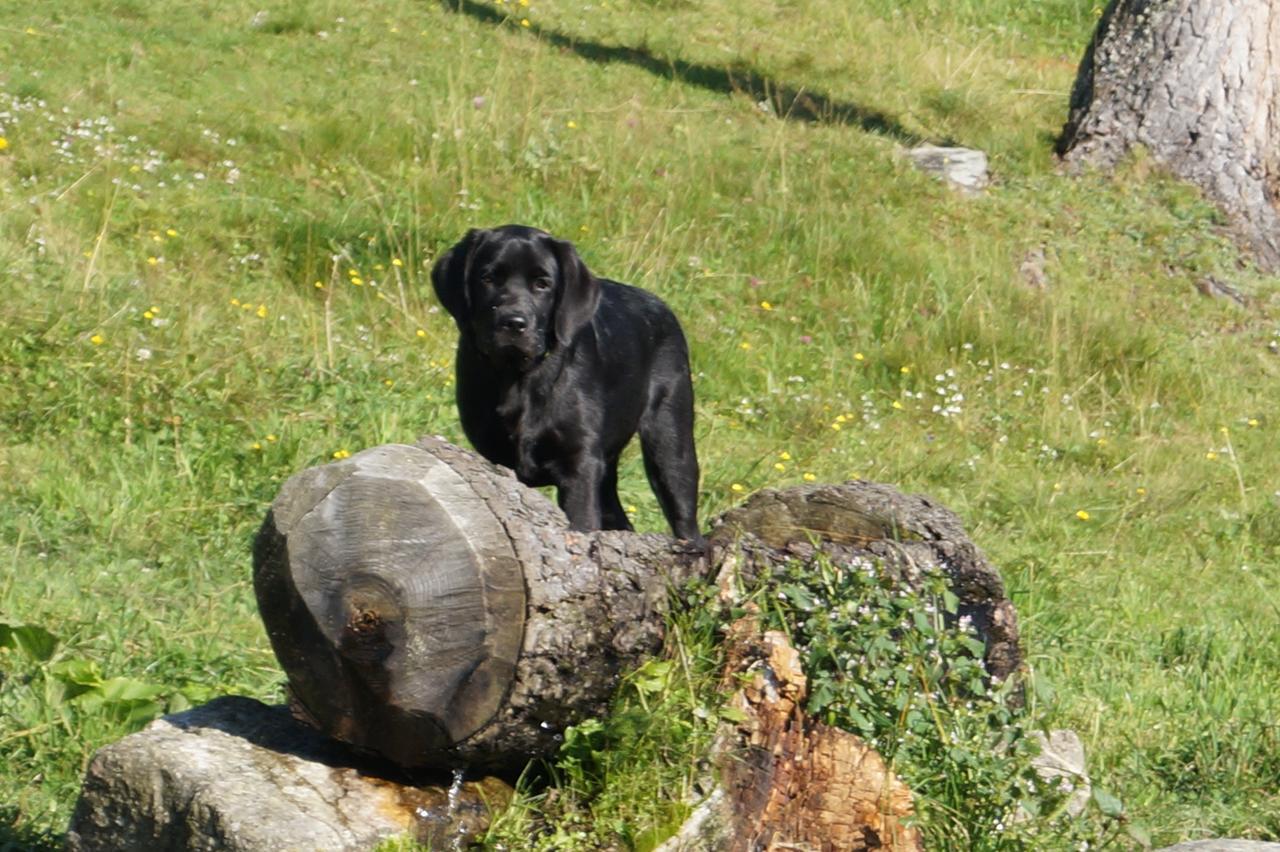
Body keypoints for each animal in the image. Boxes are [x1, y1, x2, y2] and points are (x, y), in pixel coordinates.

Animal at [435, 223, 706, 537]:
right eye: (487, 278)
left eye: (543, 284)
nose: (513, 323)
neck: (519, 377)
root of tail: (662, 306)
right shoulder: (494, 455)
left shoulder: (580, 463)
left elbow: (582, 523)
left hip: (670, 443)